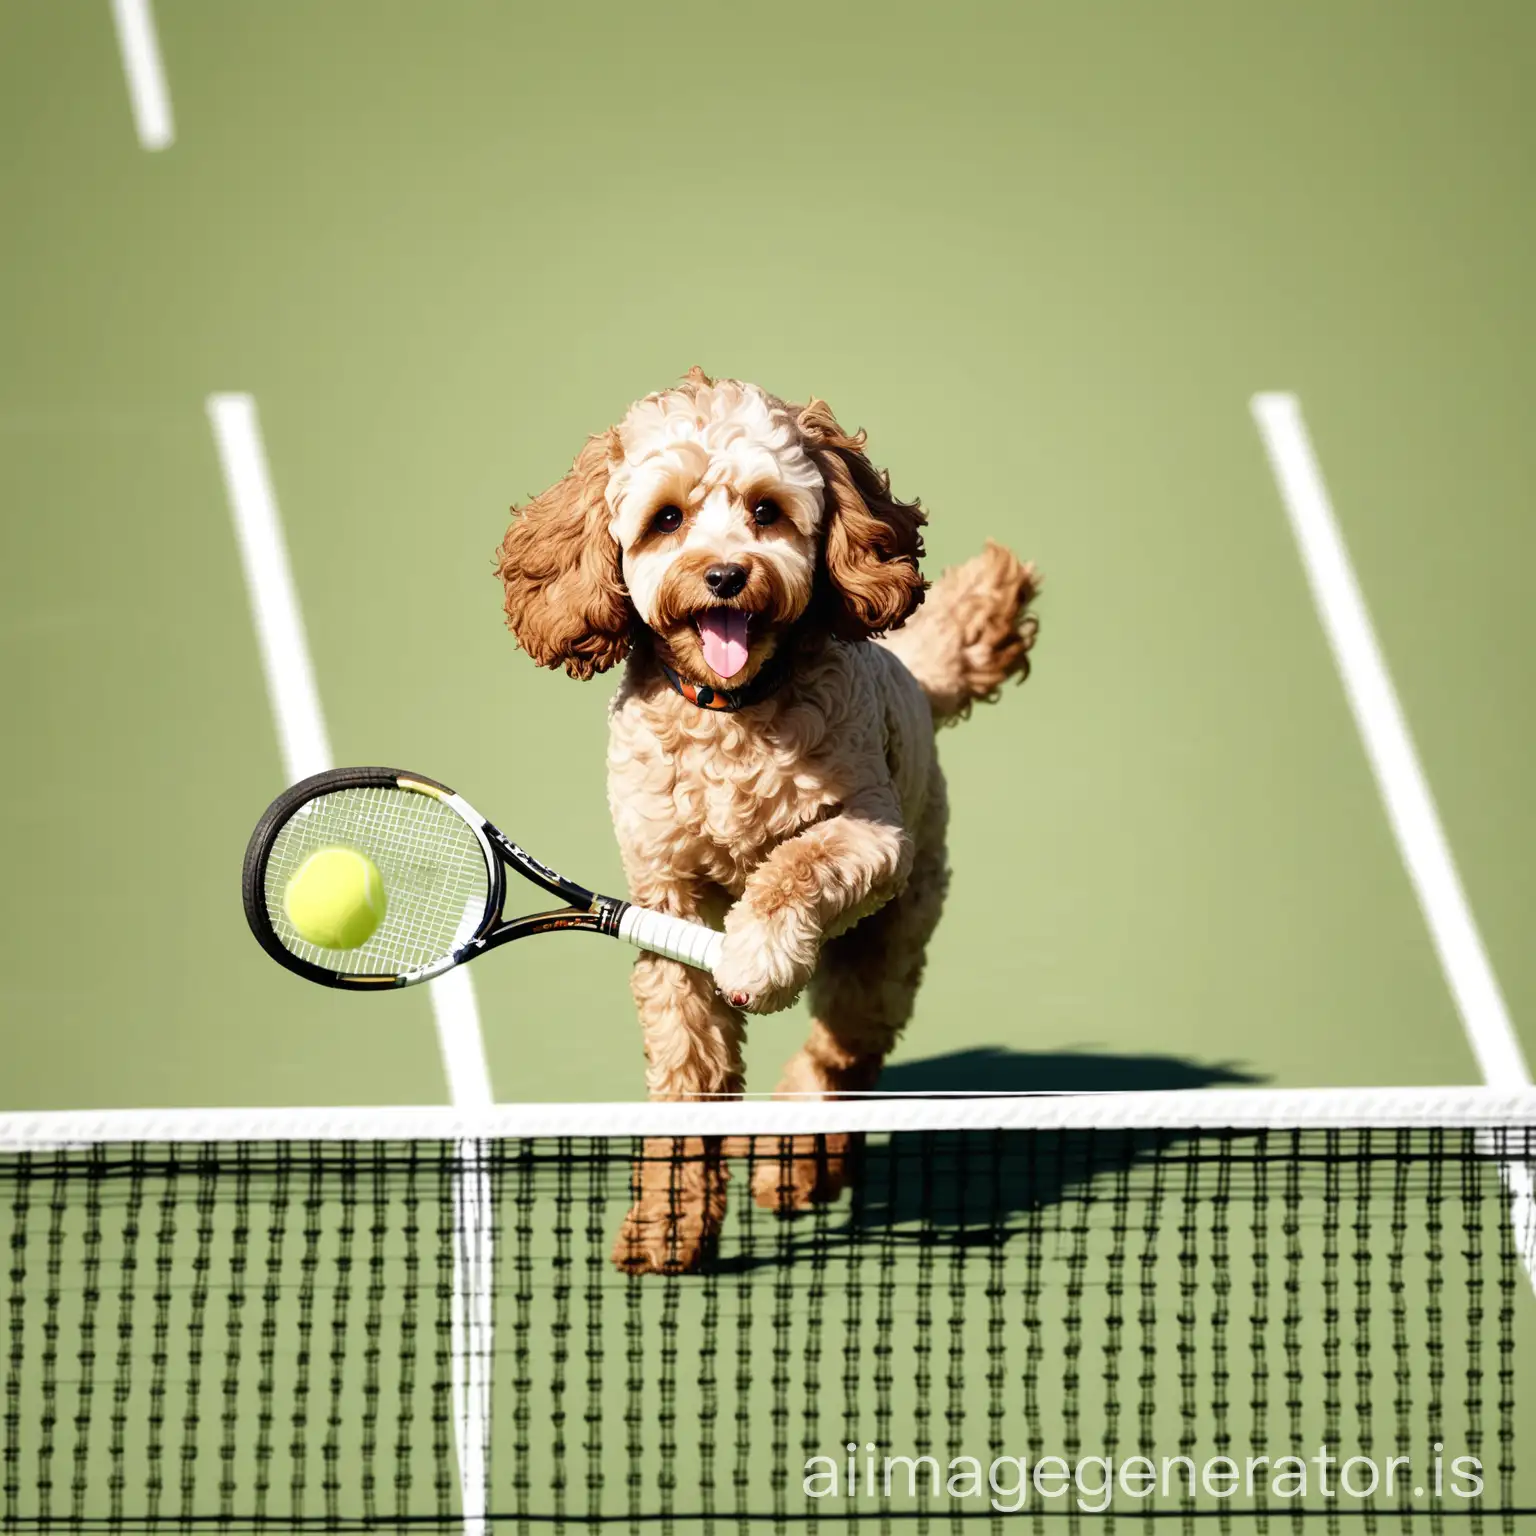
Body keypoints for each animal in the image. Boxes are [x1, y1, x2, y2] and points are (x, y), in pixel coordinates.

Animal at [497, 368, 1038, 1271]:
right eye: (667, 518)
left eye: (765, 509)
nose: (724, 576)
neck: (734, 709)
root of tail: (920, 682)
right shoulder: (666, 901)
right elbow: (689, 1078)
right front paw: (669, 1223)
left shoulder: (870, 837)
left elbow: (793, 870)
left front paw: (760, 954)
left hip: (888, 942)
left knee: (843, 1054)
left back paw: (798, 1156)